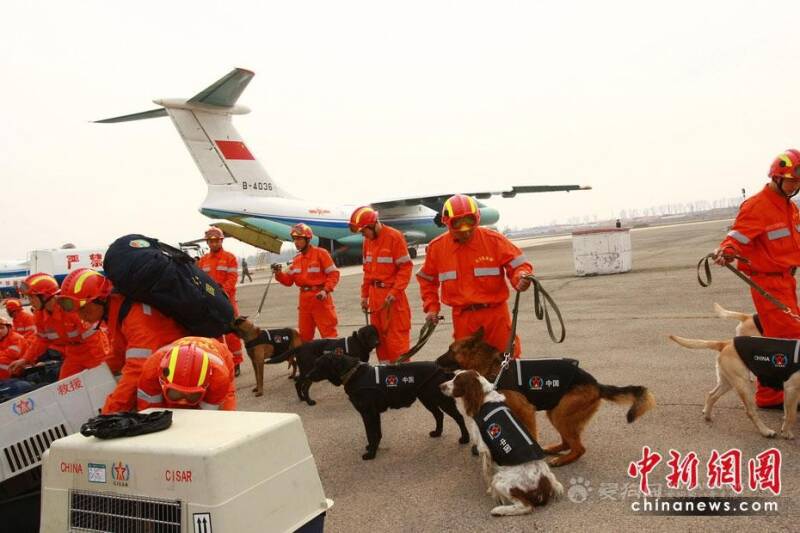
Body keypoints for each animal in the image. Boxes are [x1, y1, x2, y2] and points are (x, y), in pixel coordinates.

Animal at [306, 352, 468, 460]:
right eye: (314, 364)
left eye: (319, 365)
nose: (307, 376)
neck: (353, 373)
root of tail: (442, 369)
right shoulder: (372, 413)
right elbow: (375, 432)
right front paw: (373, 448)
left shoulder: (368, 412)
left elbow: (371, 433)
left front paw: (371, 453)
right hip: (427, 399)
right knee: (438, 415)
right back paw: (437, 432)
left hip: (441, 400)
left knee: (459, 417)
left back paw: (465, 438)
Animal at [438, 328, 656, 466]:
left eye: (450, 349)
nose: (436, 361)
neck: (494, 367)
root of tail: (596, 385)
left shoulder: (526, 411)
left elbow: (531, 434)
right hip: (556, 413)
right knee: (569, 442)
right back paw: (554, 450)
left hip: (561, 414)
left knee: (579, 448)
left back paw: (562, 460)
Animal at [440, 370, 564, 516]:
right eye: (453, 375)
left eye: (457, 380)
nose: (440, 386)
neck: (485, 396)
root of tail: (543, 488)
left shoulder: (483, 448)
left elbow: (487, 473)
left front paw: (489, 490)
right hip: (549, 476)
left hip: (500, 482)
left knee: (526, 506)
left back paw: (499, 510)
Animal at [668, 334, 800, 438]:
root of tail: (726, 343)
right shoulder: (791, 389)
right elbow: (792, 415)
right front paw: (786, 432)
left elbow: (788, 412)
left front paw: (784, 424)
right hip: (742, 383)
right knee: (750, 412)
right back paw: (765, 431)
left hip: (727, 382)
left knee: (711, 395)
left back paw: (707, 415)